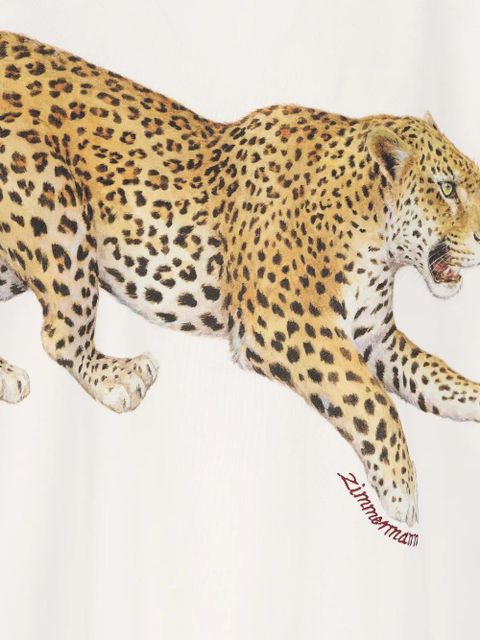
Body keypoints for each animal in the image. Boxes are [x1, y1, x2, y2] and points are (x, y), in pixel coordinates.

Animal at [1, 32, 480, 526]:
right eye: (447, 189)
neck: (375, 240)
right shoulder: (288, 326)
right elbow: (371, 400)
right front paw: (402, 494)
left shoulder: (374, 336)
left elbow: (434, 375)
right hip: (54, 204)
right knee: (61, 336)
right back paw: (120, 377)